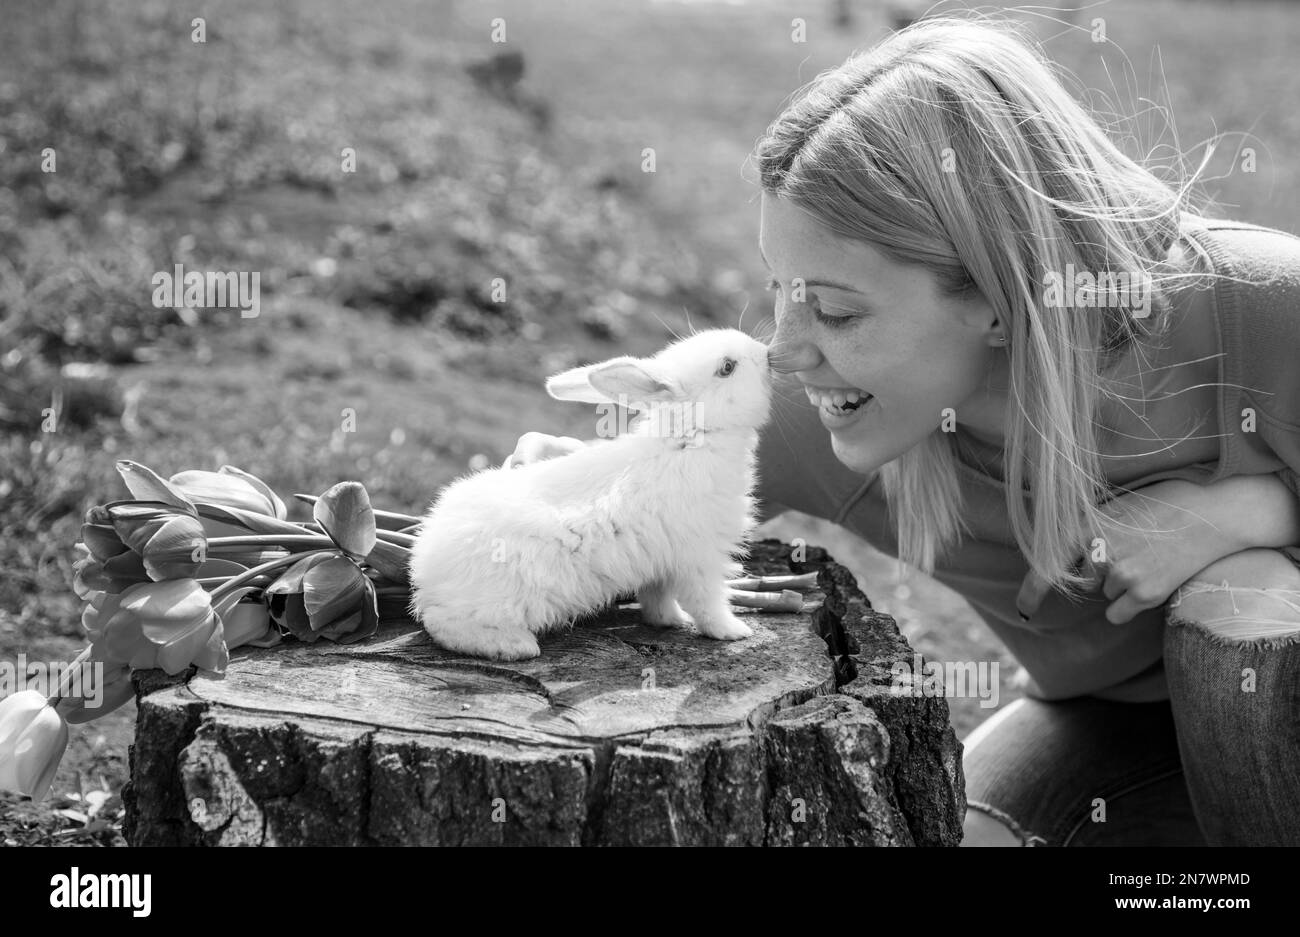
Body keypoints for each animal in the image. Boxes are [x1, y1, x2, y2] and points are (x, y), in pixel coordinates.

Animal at [405, 328, 769, 657]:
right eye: (727, 367)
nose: (765, 352)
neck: (691, 438)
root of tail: (425, 569)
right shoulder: (700, 557)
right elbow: (708, 601)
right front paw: (733, 632)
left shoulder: (660, 565)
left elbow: (658, 598)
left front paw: (670, 621)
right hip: (498, 600)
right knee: (445, 623)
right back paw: (515, 646)